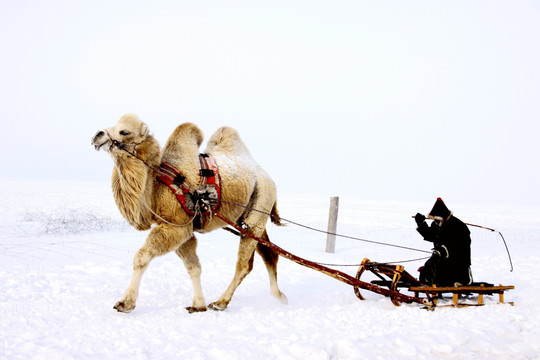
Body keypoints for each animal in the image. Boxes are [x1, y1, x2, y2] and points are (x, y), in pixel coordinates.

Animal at [92, 113, 286, 312]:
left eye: (124, 131)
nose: (98, 135)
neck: (156, 186)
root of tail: (268, 177)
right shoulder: (183, 228)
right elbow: (194, 267)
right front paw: (198, 305)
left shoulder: (175, 226)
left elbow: (141, 257)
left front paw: (125, 303)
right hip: (249, 216)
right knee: (270, 254)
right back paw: (278, 297)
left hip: (260, 205)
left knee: (244, 264)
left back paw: (221, 302)